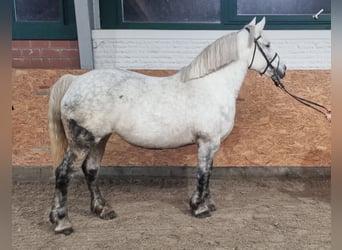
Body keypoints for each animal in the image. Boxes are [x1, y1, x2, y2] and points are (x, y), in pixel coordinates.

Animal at [48, 17, 286, 234]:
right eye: (266, 44)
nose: (283, 69)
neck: (213, 86)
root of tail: (75, 81)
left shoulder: (212, 144)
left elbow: (208, 173)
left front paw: (207, 204)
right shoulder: (207, 142)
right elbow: (203, 174)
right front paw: (199, 208)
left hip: (100, 139)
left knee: (90, 169)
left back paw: (103, 209)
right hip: (82, 142)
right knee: (63, 173)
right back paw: (62, 222)